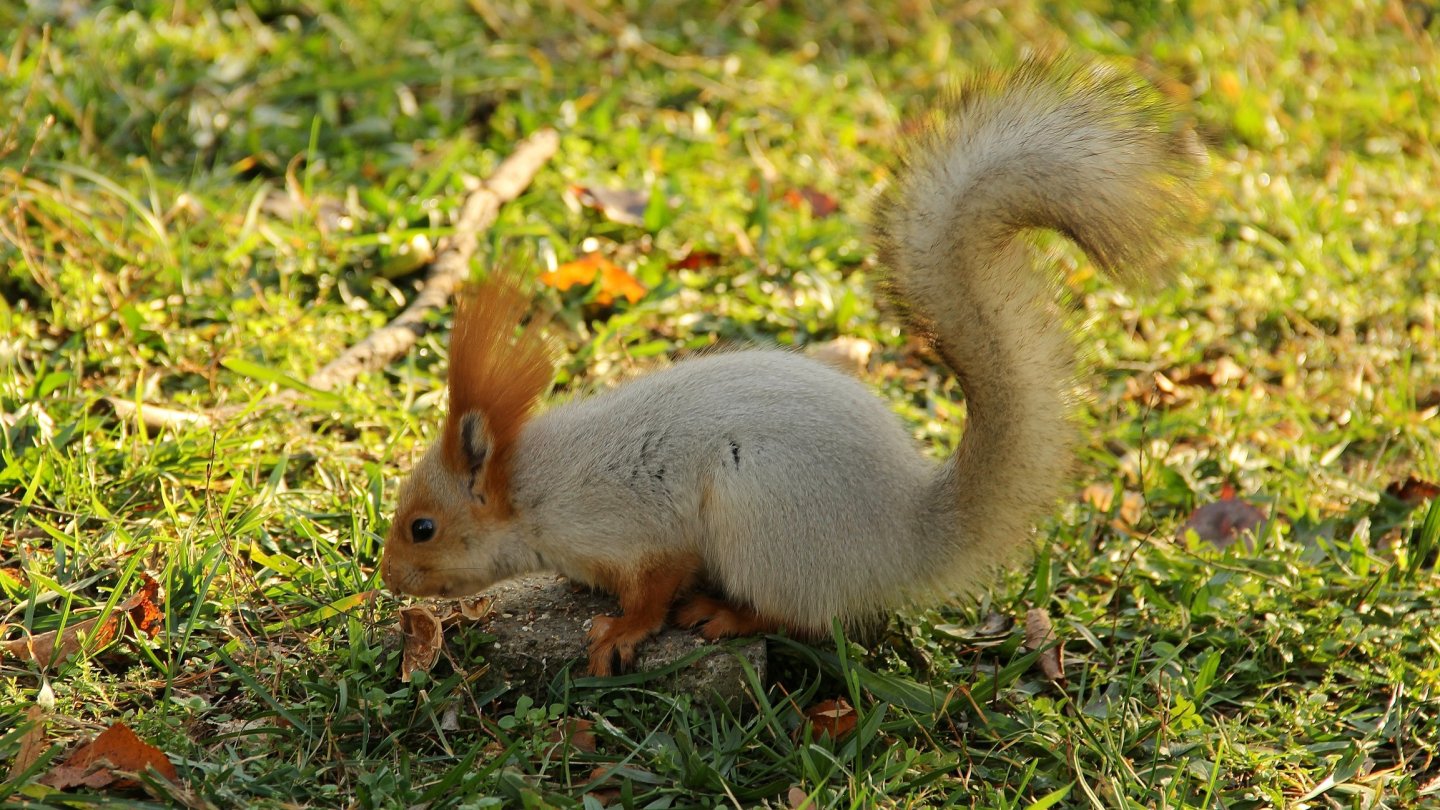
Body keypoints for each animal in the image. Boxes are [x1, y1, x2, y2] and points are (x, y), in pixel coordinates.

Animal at [380, 58, 1203, 674]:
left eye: (423, 528)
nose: (386, 579)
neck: (531, 489)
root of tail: (902, 537)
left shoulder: (637, 525)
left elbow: (653, 588)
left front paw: (619, 633)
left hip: (758, 518)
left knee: (795, 616)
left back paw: (724, 613)